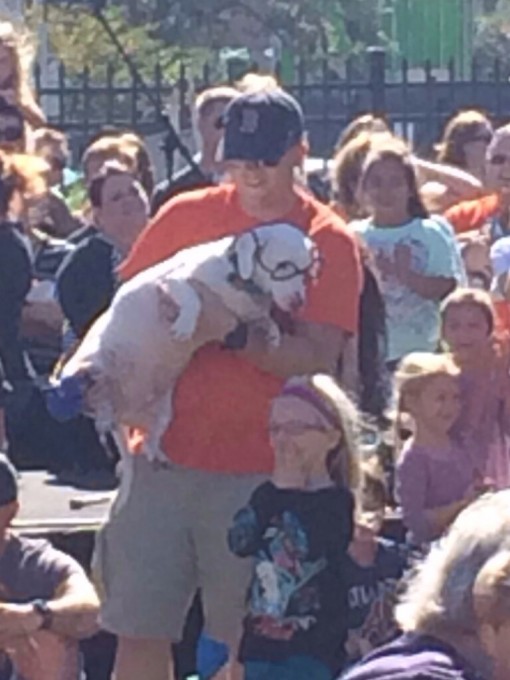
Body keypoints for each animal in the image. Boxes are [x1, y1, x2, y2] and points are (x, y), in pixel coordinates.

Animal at [58, 222, 318, 462]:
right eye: (284, 266)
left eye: (306, 272)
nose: (298, 302)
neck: (236, 273)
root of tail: (123, 407)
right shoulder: (174, 281)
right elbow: (193, 299)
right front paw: (186, 324)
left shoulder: (249, 314)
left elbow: (264, 319)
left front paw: (273, 332)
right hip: (90, 365)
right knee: (95, 395)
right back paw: (98, 409)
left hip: (162, 412)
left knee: (149, 435)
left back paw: (152, 451)